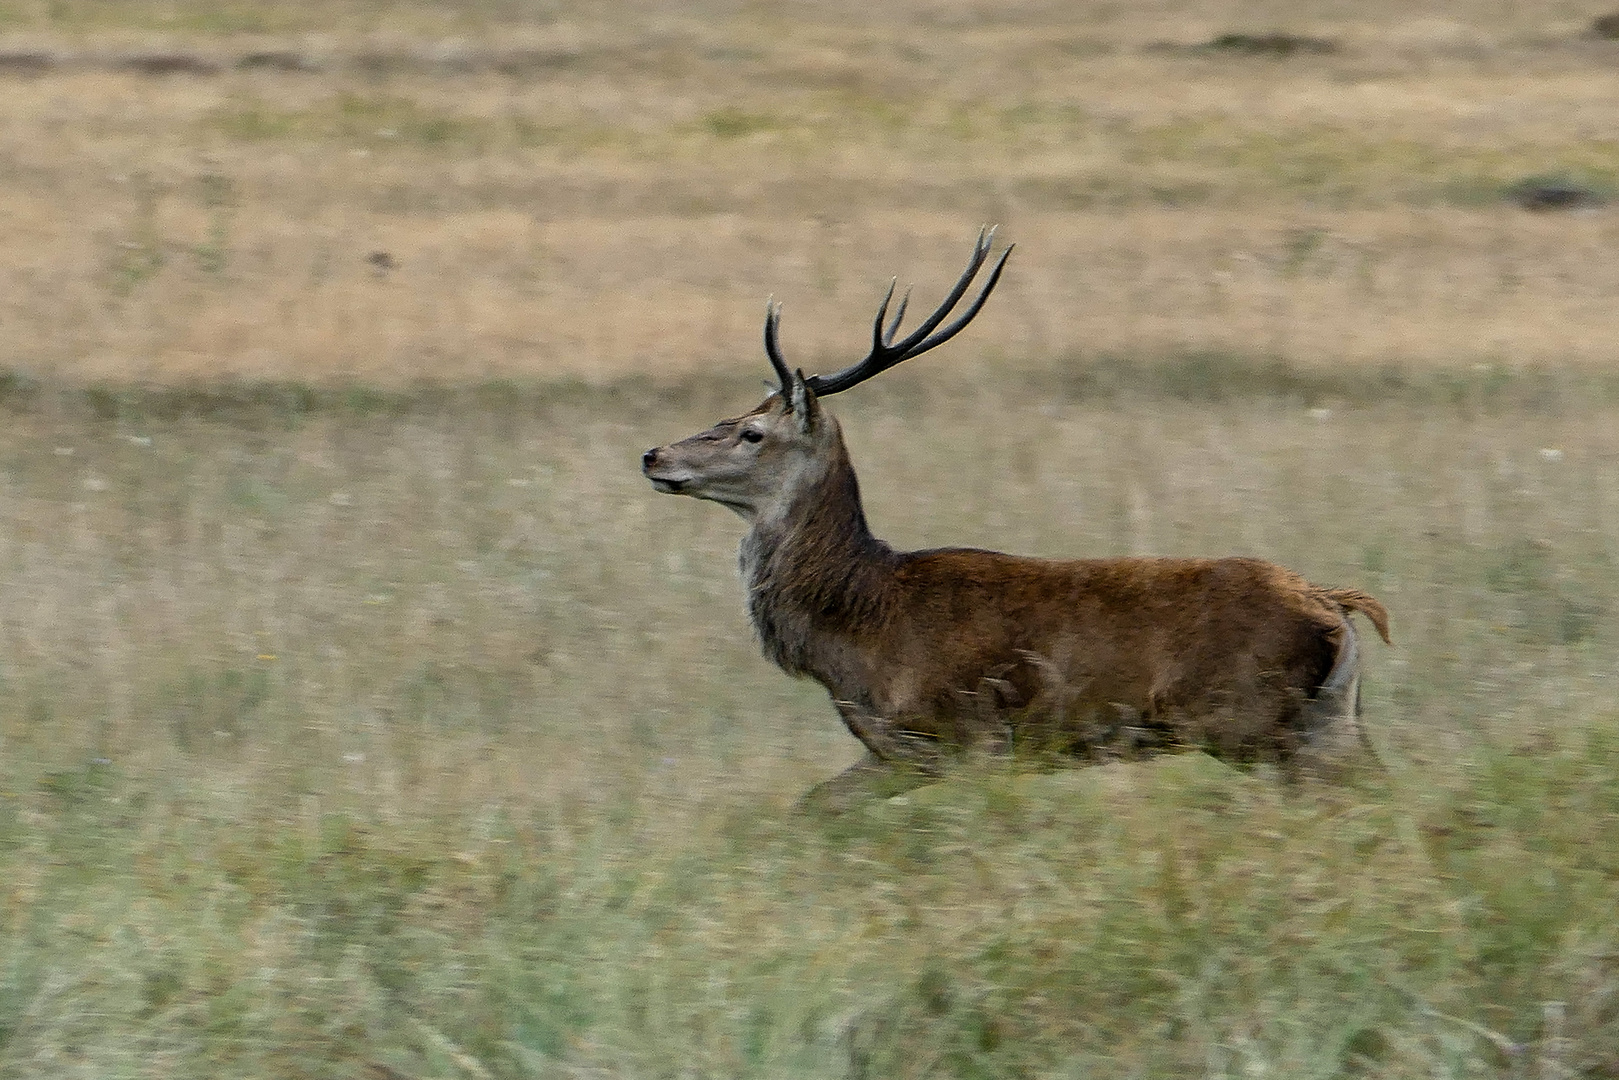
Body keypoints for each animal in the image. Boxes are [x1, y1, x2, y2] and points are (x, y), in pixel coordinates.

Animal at [641, 229, 1392, 809]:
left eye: (751, 433)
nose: (653, 454)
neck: (859, 627)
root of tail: (1332, 602)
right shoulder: (896, 751)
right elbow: (808, 810)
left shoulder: (973, 736)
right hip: (1329, 718)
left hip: (1249, 719)